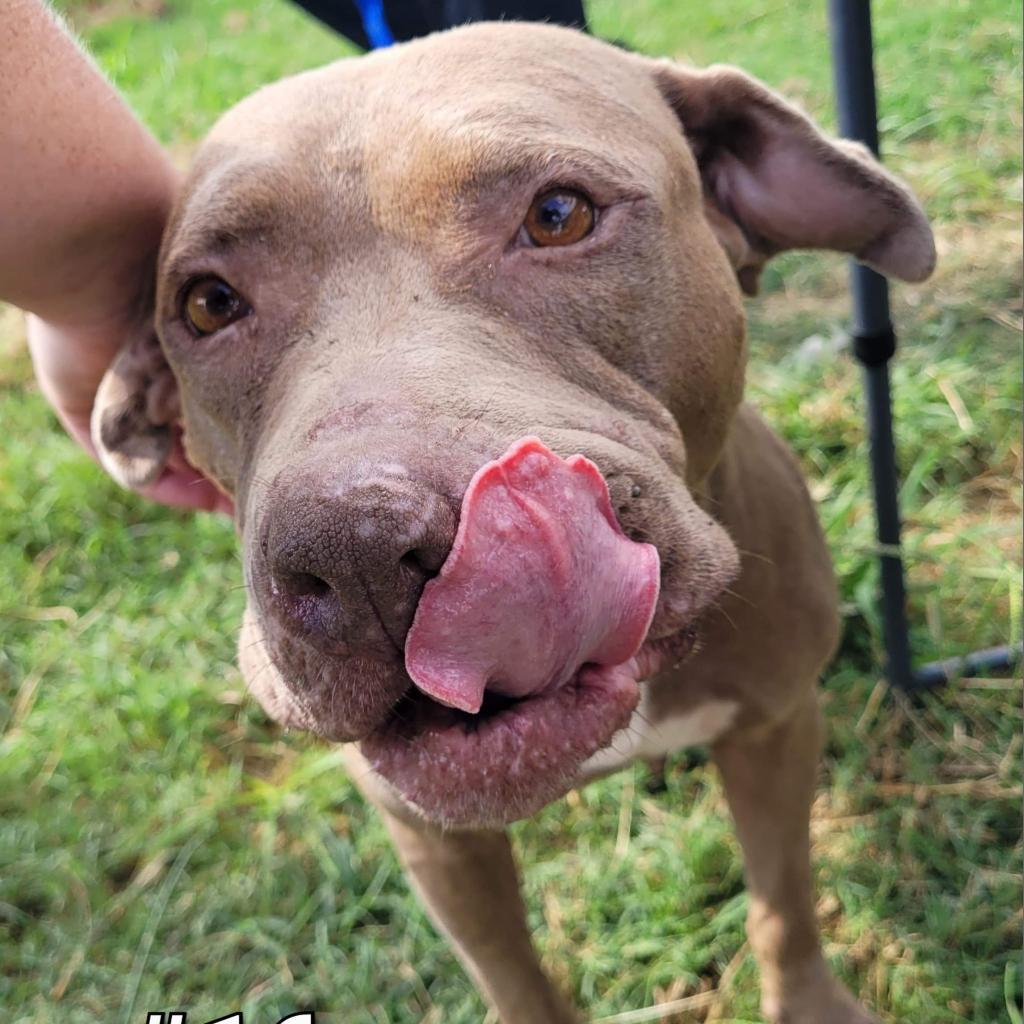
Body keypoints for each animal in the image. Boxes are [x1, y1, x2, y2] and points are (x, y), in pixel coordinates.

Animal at [90, 24, 937, 1024]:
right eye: (209, 302)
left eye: (560, 213)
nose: (357, 545)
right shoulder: (436, 841)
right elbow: (513, 973)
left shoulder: (776, 729)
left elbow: (782, 901)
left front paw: (807, 1000)